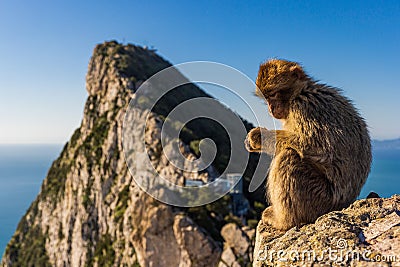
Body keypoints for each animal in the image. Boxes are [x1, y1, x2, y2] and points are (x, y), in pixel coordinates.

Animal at [244, 59, 372, 231]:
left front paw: (256, 137)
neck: (300, 92)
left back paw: (283, 221)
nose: (271, 108)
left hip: (319, 199)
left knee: (289, 156)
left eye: (273, 94)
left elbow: (314, 146)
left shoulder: (305, 106)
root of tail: (344, 203)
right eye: (266, 98)